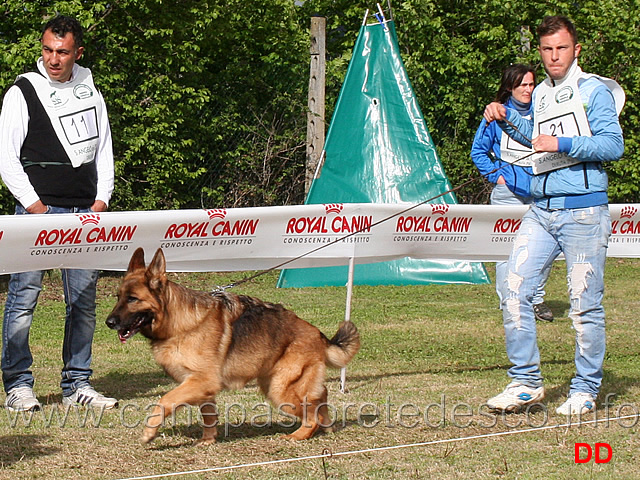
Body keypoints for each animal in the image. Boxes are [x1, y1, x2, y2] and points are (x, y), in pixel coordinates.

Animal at [107, 249, 362, 444]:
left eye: (132, 299)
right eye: (118, 297)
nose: (109, 322)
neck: (178, 323)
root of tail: (318, 334)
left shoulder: (201, 381)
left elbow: (164, 401)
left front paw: (149, 432)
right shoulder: (202, 387)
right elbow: (208, 414)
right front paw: (208, 440)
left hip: (280, 391)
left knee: (312, 413)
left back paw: (299, 435)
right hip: (276, 383)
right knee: (320, 396)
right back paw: (326, 425)